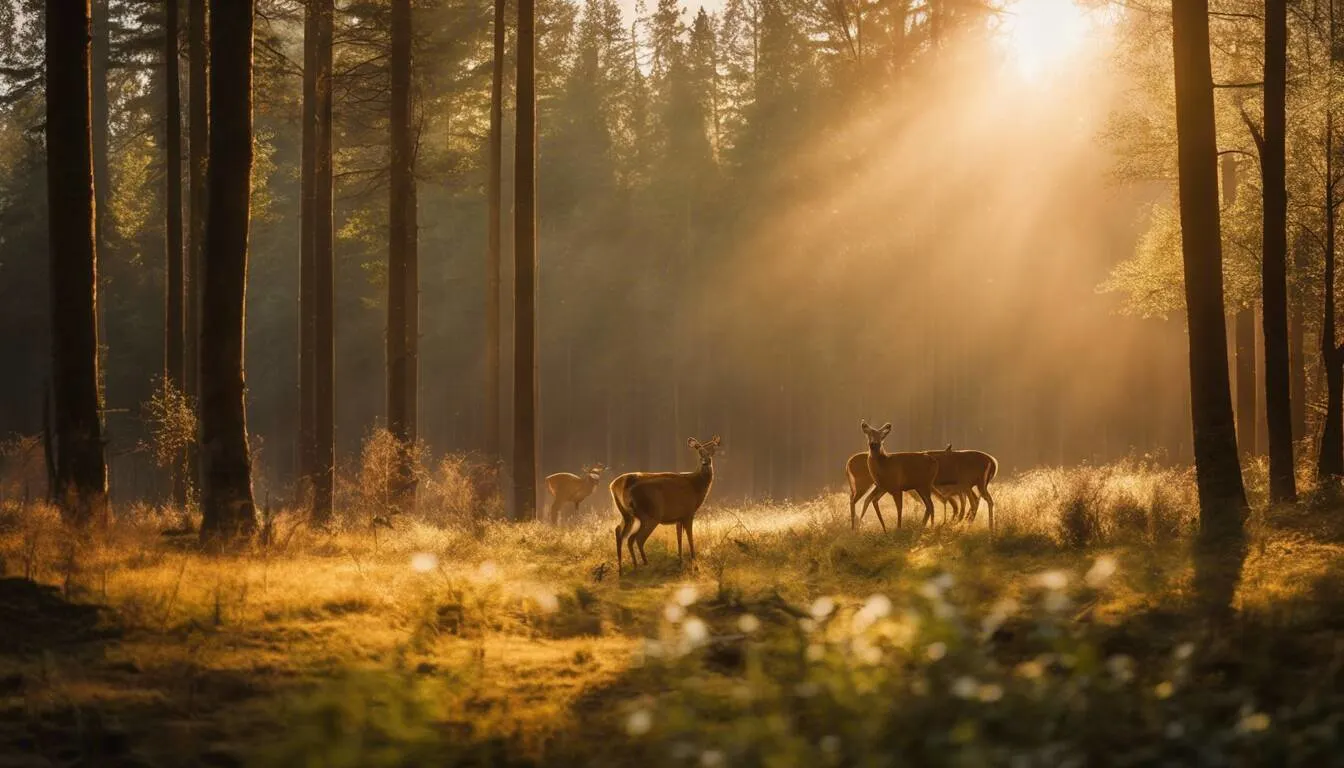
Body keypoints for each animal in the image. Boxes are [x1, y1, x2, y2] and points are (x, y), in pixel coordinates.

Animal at [611, 436, 721, 575]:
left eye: (713, 449)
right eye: (699, 451)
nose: (705, 461)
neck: (697, 487)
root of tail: (613, 486)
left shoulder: (678, 517)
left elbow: (679, 538)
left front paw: (680, 561)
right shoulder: (688, 512)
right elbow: (690, 538)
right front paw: (695, 564)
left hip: (627, 514)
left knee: (619, 532)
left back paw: (624, 568)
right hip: (650, 514)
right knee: (636, 538)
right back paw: (644, 564)